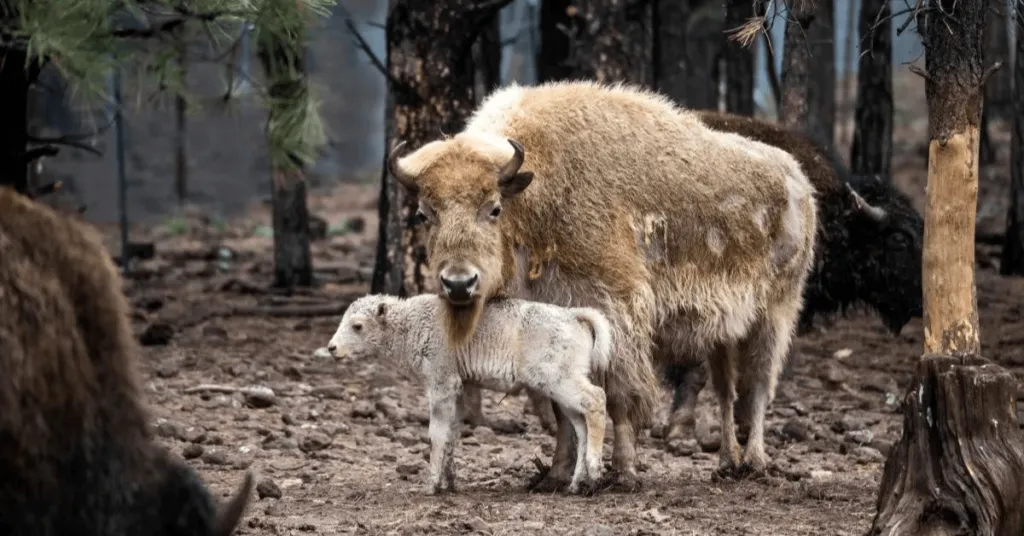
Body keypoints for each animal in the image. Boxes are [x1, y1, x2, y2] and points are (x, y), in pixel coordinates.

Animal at [329, 293, 606, 496]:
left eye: (357, 326)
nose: (332, 348)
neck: (411, 323)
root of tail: (573, 316)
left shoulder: (441, 386)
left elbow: (436, 434)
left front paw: (431, 486)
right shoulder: (458, 391)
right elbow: (451, 433)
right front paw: (449, 483)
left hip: (557, 381)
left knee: (596, 399)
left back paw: (594, 470)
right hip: (561, 388)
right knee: (581, 424)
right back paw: (576, 484)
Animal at [387, 80, 819, 485]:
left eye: (493, 208)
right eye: (425, 214)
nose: (459, 284)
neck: (538, 193)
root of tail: (798, 181)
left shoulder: (618, 314)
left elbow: (619, 397)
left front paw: (624, 472)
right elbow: (561, 407)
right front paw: (556, 475)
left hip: (775, 314)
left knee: (758, 386)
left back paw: (755, 462)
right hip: (723, 332)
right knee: (727, 391)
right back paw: (727, 463)